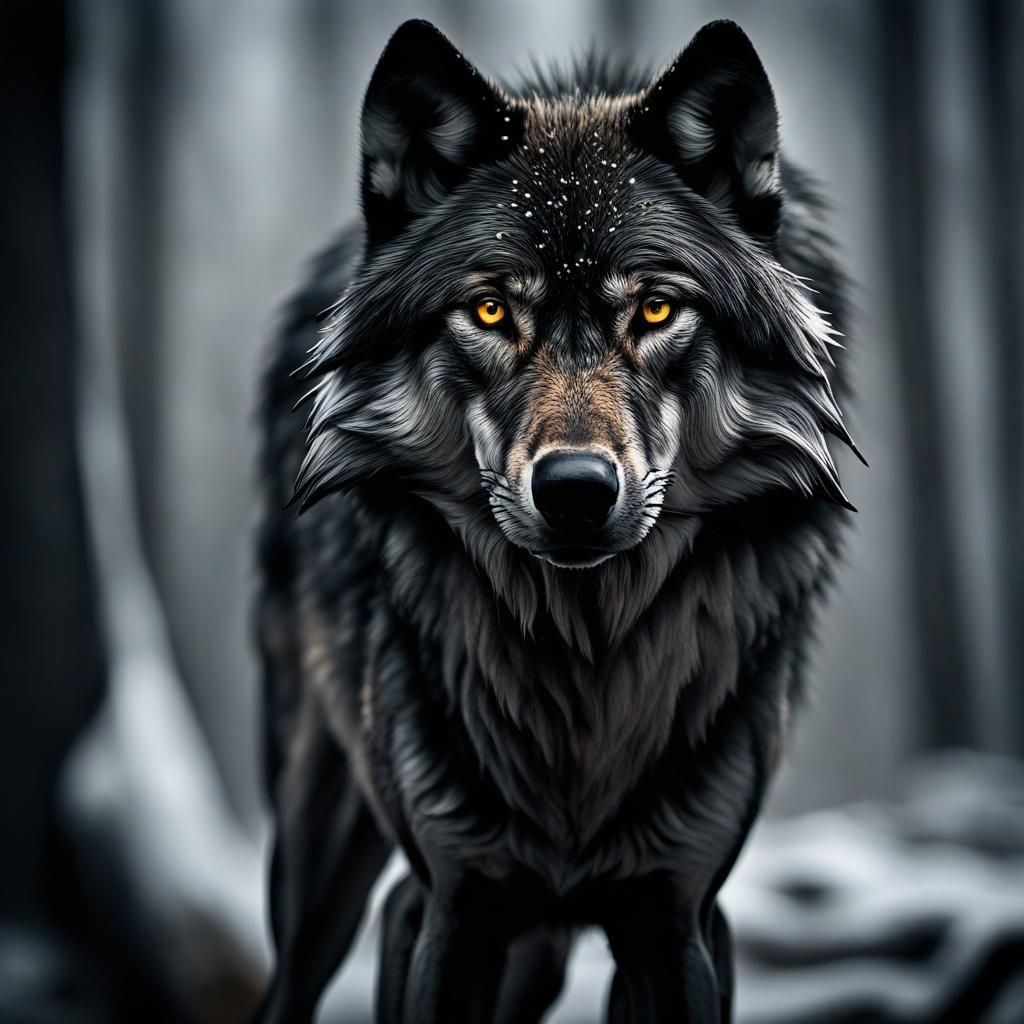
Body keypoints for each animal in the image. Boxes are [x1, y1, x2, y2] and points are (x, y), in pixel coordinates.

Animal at [254, 17, 861, 1024]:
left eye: (656, 307)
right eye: (492, 308)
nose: (576, 489)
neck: (582, 671)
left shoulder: (678, 919)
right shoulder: (460, 903)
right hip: (325, 862)